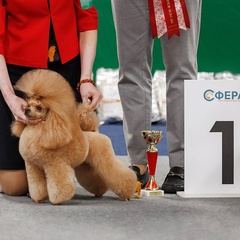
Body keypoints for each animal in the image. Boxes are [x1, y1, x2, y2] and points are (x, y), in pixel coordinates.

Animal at [11, 69, 137, 204]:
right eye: (28, 104)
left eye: (39, 108)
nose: (26, 110)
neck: (41, 129)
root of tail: (95, 132)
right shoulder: (33, 166)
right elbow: (37, 185)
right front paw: (38, 198)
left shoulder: (55, 165)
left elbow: (59, 184)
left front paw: (58, 200)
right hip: (86, 164)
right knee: (95, 178)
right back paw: (99, 192)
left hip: (104, 158)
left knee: (120, 174)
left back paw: (128, 192)